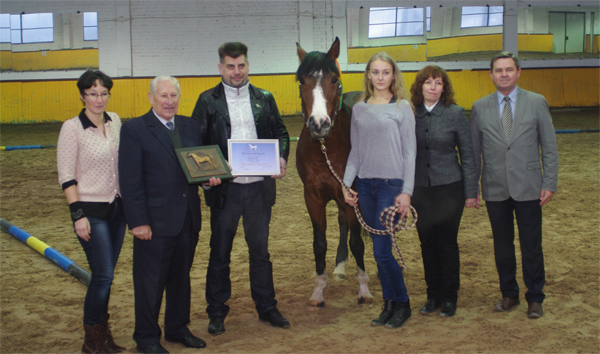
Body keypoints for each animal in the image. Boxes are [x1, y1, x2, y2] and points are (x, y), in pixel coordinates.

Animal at [294, 36, 372, 306]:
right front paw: (319, 291)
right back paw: (339, 266)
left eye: (334, 79)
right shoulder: (313, 197)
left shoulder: (351, 195)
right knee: (342, 223)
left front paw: (364, 289)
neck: (325, 148)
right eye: (302, 81)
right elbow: (319, 243)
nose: (319, 124)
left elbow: (357, 242)